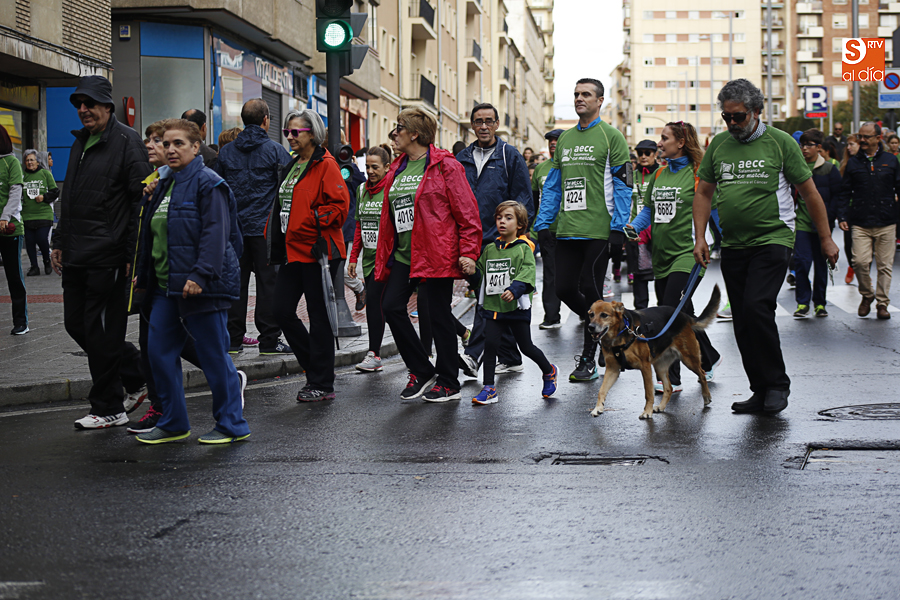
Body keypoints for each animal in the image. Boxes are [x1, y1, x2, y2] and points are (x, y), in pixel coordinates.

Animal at [587, 285, 720, 420]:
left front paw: (647, 411)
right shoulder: (613, 369)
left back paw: (706, 396)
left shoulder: (645, 367)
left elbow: (648, 393)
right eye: (591, 314)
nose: (590, 327)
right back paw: (661, 406)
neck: (620, 332)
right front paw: (598, 408)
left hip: (689, 359)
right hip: (660, 367)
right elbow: (602, 390)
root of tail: (683, 316)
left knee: (702, 374)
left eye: (604, 315)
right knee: (669, 387)